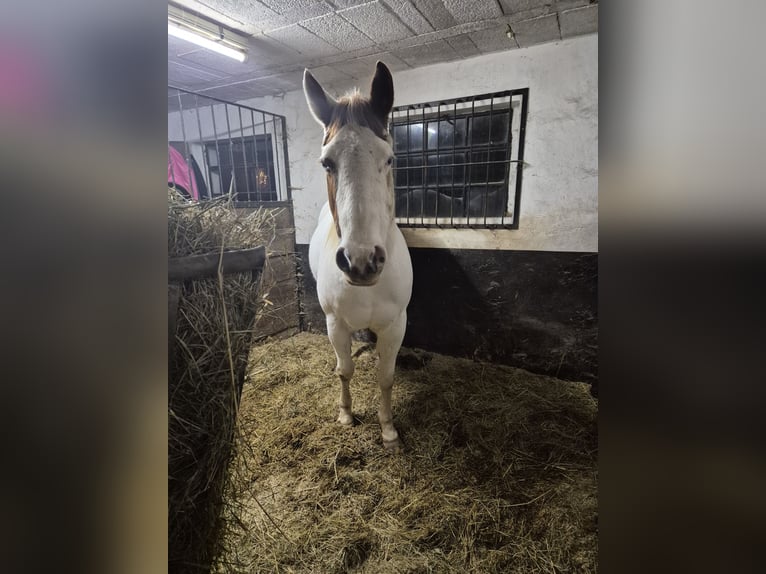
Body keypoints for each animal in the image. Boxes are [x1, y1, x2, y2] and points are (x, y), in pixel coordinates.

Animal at [303, 62, 413, 452]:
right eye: (326, 163)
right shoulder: (335, 323)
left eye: (389, 158)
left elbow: (386, 376)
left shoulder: (395, 325)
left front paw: (389, 430)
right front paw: (346, 414)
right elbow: (344, 369)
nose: (361, 261)